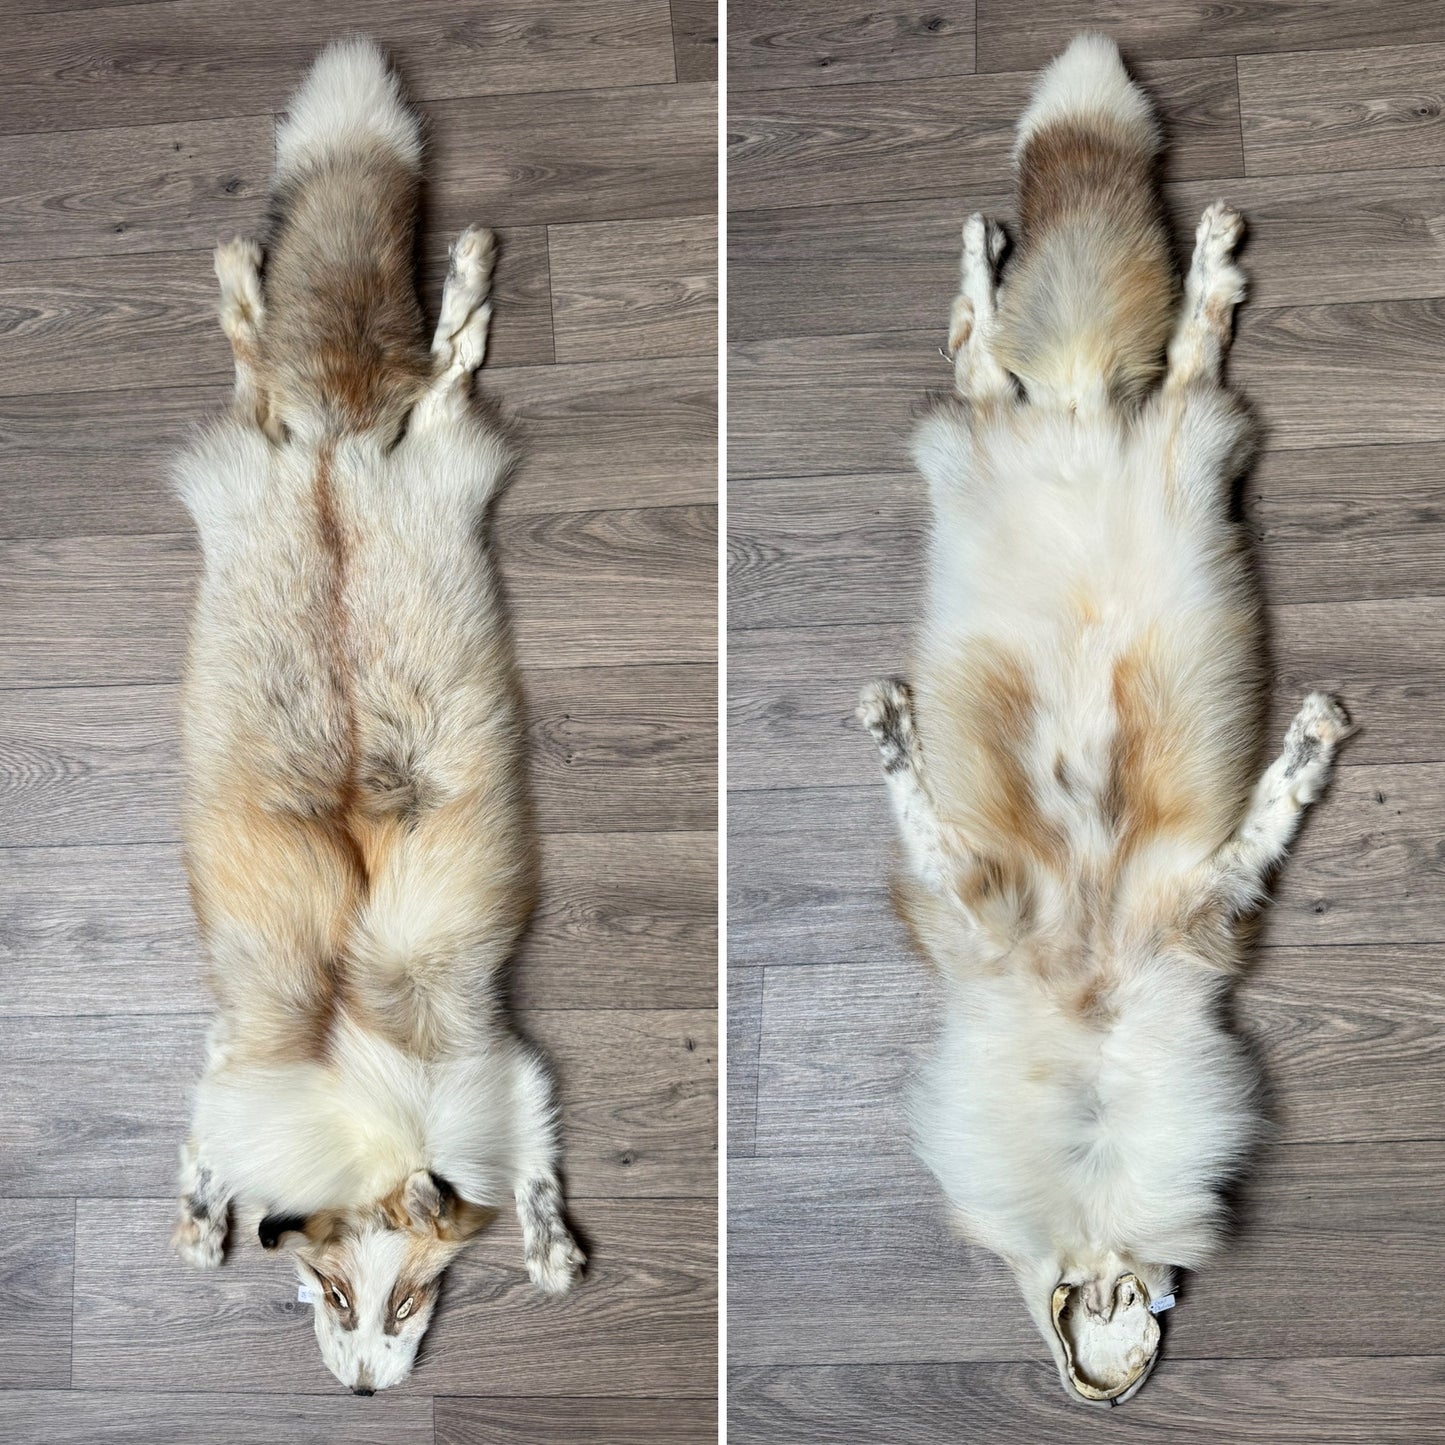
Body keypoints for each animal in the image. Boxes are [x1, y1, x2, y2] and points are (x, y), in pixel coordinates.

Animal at [168, 38, 583, 1393]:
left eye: (405, 1302)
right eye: (328, 1290)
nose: (360, 1389)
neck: (351, 1039)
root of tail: (336, 447)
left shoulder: (498, 1060)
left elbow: (533, 1169)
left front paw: (554, 1251)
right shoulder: (243, 1049)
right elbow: (205, 1135)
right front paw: (199, 1217)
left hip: (429, 456)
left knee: (436, 369)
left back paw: (465, 277)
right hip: (289, 445)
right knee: (263, 355)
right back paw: (245, 270)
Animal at [857, 34, 1351, 1405]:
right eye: (1138, 1305)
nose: (1145, 1303)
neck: (1085, 990)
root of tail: (1080, 414)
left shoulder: (1177, 912)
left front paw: (1305, 742)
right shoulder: (1003, 903)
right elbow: (921, 811)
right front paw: (886, 727)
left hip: (1168, 443)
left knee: (1122, 352)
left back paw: (1193, 254)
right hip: (1086, 435)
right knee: (1025, 354)